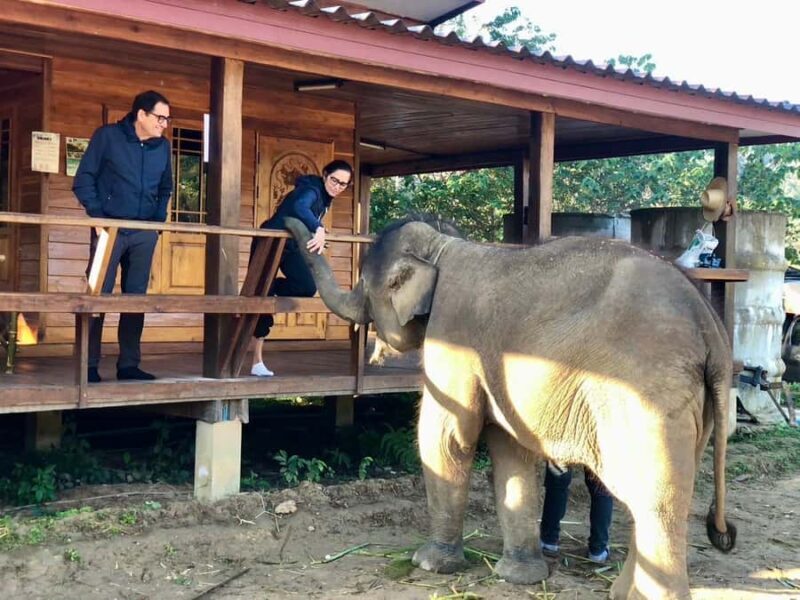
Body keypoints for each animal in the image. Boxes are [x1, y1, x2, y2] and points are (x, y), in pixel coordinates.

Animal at [284, 215, 736, 599]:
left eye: (365, 285)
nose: (294, 224)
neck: (444, 247)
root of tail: (710, 325)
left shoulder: (454, 334)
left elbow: (447, 438)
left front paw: (429, 565)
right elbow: (510, 450)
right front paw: (520, 576)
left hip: (648, 397)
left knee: (656, 499)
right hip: (692, 406)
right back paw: (619, 593)